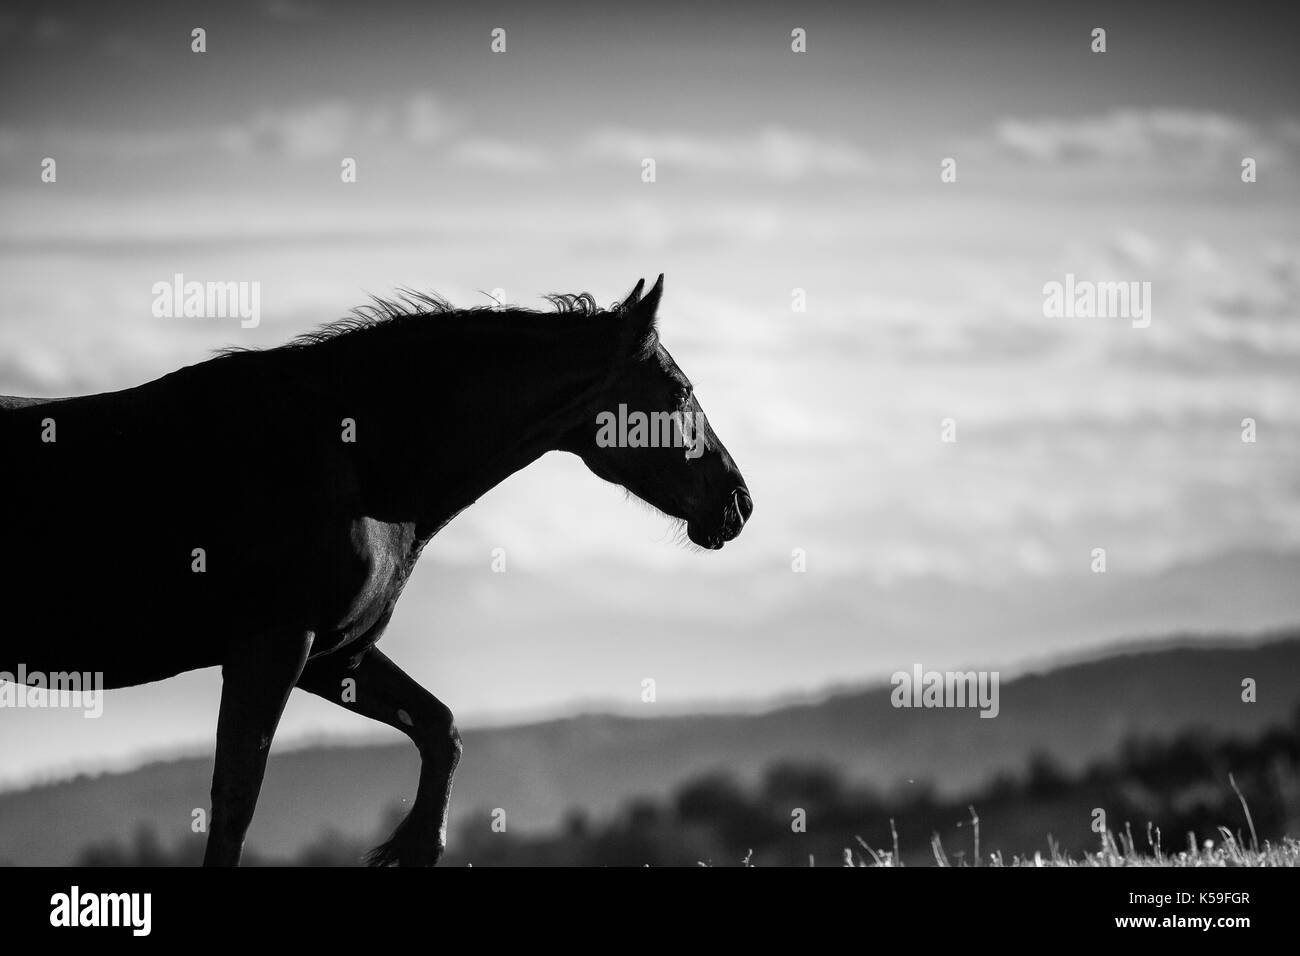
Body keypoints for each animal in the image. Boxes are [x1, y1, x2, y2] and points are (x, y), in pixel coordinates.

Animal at [0, 273, 754, 863]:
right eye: (679, 392)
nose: (738, 504)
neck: (351, 456)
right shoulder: (271, 645)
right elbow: (236, 800)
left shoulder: (336, 657)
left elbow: (440, 731)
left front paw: (412, 848)